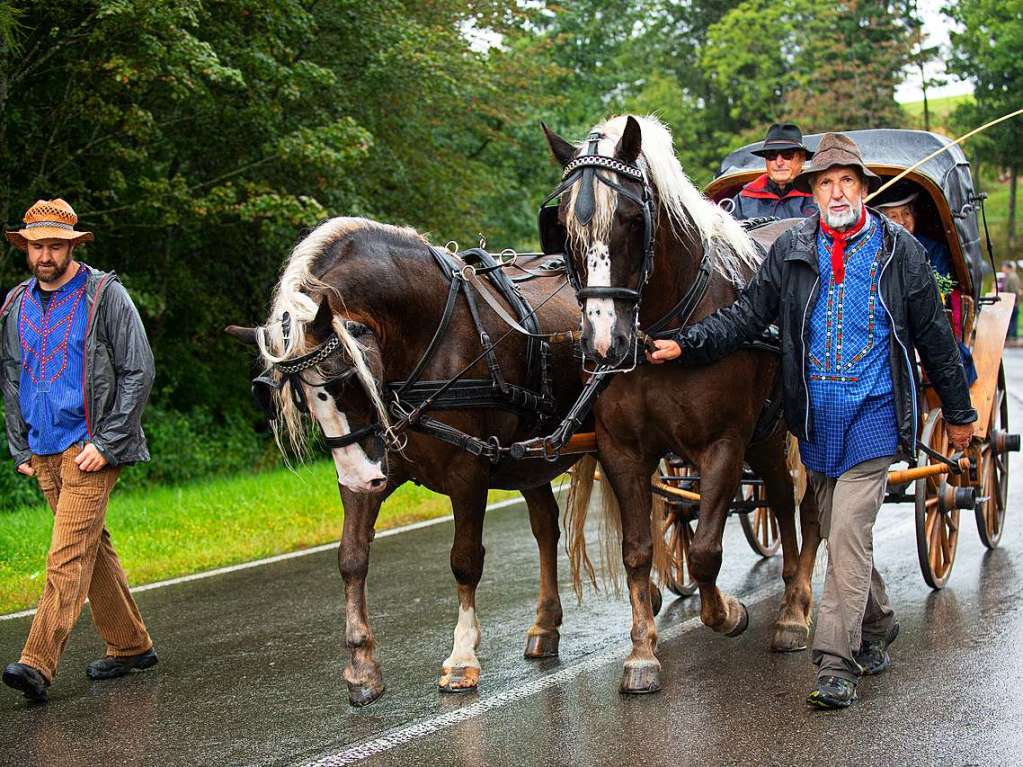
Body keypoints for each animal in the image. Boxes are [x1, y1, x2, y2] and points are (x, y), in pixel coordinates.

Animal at [228, 217, 589, 707]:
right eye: (300, 398)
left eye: (344, 381)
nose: (360, 477)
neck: (426, 336)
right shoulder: (375, 464)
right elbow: (352, 558)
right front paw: (361, 665)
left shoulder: (468, 472)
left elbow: (464, 560)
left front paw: (462, 658)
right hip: (530, 459)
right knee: (546, 529)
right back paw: (545, 627)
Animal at [544, 115, 822, 695]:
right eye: (561, 224)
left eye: (631, 218)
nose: (603, 342)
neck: (670, 328)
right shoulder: (622, 451)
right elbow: (638, 550)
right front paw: (642, 652)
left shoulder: (723, 445)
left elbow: (705, 552)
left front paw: (728, 613)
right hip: (767, 434)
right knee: (781, 498)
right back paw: (789, 594)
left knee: (810, 509)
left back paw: (795, 610)